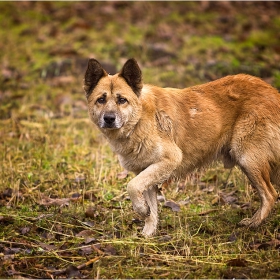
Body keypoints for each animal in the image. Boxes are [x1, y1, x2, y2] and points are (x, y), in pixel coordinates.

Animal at [83, 58, 280, 236]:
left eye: (122, 100)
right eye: (101, 99)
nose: (109, 118)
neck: (140, 121)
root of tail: (273, 91)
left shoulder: (170, 159)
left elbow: (131, 186)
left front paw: (141, 210)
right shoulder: (147, 172)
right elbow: (151, 209)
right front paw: (147, 235)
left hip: (247, 159)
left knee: (270, 195)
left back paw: (254, 223)